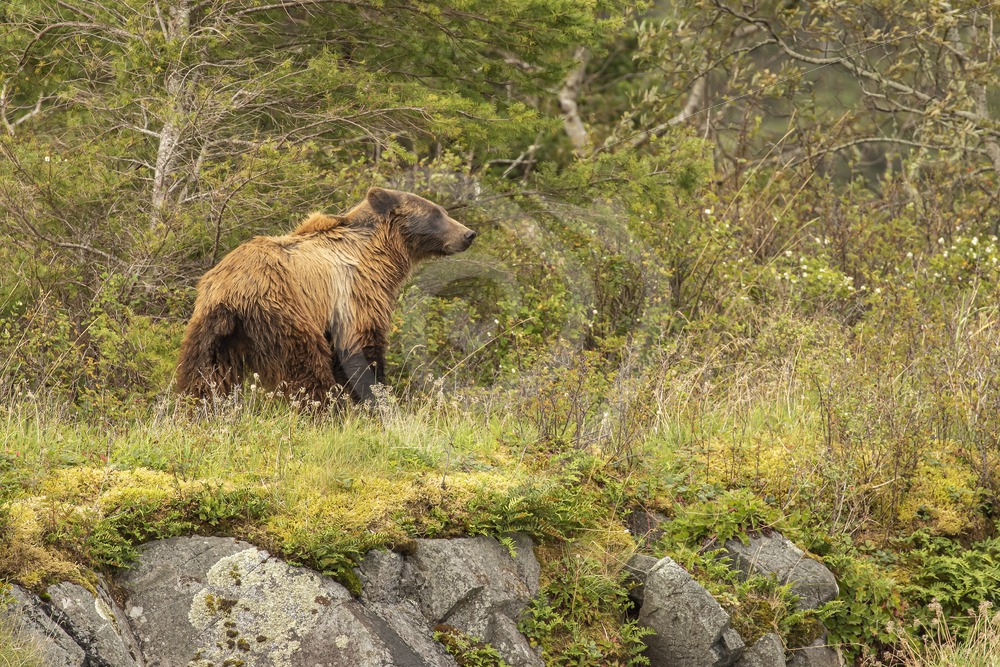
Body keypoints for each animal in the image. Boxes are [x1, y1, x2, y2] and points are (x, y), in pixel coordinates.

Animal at [174, 187, 477, 405]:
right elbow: (362, 348)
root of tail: (231, 292)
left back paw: (196, 410)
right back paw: (325, 410)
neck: (380, 255)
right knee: (307, 368)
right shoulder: (356, 294)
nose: (469, 234)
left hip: (210, 331)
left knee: (204, 375)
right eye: (436, 214)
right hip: (283, 314)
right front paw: (376, 398)